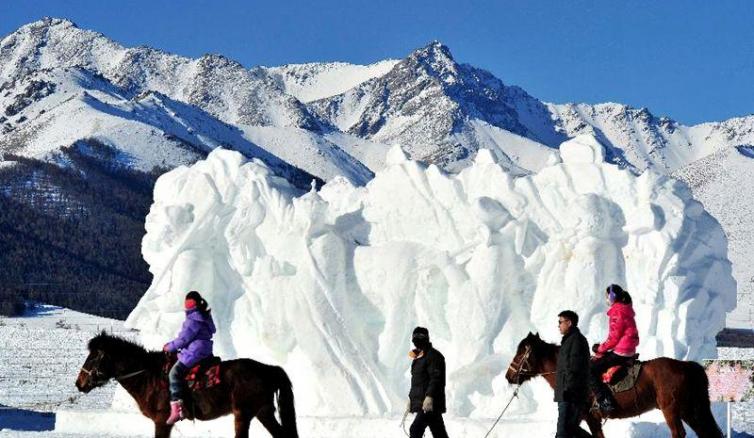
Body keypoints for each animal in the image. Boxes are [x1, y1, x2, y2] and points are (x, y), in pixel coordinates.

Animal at [75, 332, 296, 438]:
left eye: (93, 358)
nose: (79, 383)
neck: (148, 376)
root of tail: (268, 369)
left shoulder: (162, 421)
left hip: (244, 414)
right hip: (263, 412)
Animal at [502, 332, 720, 438]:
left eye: (521, 354)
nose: (509, 376)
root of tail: (687, 366)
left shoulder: (588, 416)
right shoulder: (586, 418)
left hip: (672, 409)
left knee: (679, 433)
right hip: (690, 410)